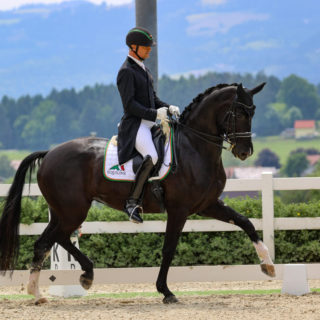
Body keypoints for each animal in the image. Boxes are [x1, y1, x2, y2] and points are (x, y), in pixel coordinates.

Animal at [0, 81, 276, 304]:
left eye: (253, 111)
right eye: (238, 112)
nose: (245, 152)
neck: (194, 148)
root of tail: (49, 154)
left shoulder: (208, 204)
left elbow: (246, 222)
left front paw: (269, 266)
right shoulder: (179, 210)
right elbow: (169, 248)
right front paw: (166, 291)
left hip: (63, 211)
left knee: (47, 242)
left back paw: (41, 292)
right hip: (72, 211)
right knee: (55, 238)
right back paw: (77, 277)